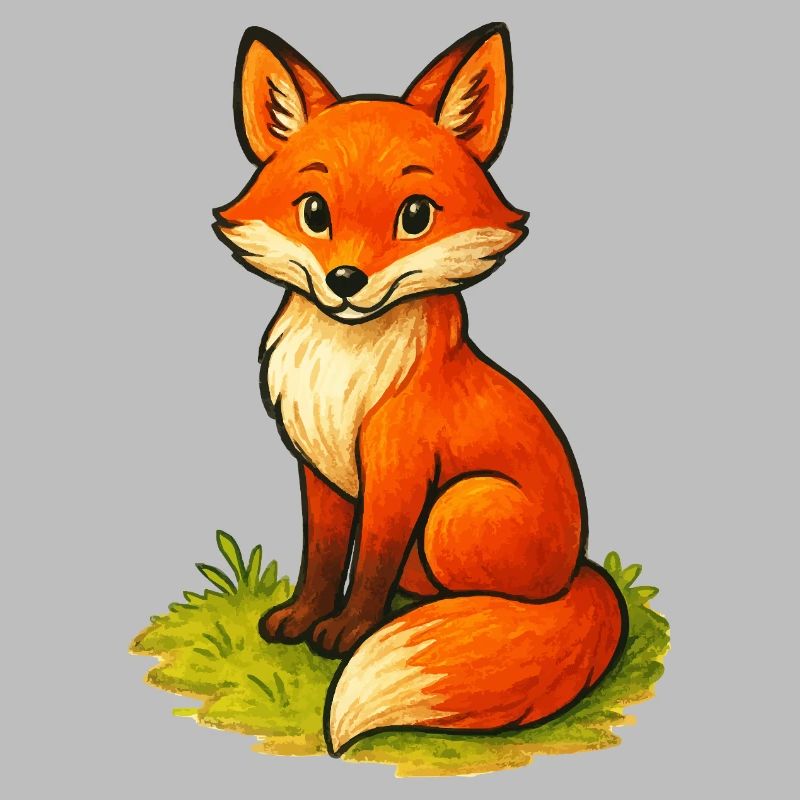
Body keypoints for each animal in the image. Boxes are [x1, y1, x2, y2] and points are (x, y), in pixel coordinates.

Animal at [213, 23, 627, 758]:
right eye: (314, 212)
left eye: (414, 216)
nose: (346, 281)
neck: (344, 369)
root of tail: (580, 569)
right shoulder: (318, 468)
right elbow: (324, 556)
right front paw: (303, 618)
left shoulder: (398, 467)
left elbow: (371, 561)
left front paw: (347, 634)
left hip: (456, 511)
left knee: (487, 597)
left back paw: (450, 615)